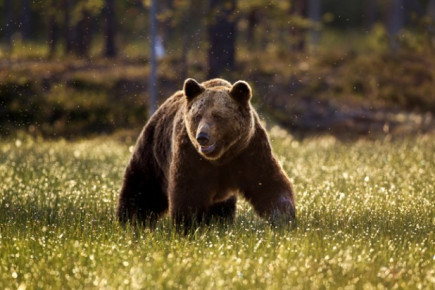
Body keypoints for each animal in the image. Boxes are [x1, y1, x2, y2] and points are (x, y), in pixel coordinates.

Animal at [118, 78, 296, 228]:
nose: (202, 137)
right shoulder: (191, 156)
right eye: (197, 116)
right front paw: (188, 226)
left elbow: (268, 183)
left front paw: (283, 218)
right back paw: (129, 221)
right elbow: (188, 193)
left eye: (217, 116)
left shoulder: (249, 150)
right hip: (153, 154)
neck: (222, 156)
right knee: (142, 190)